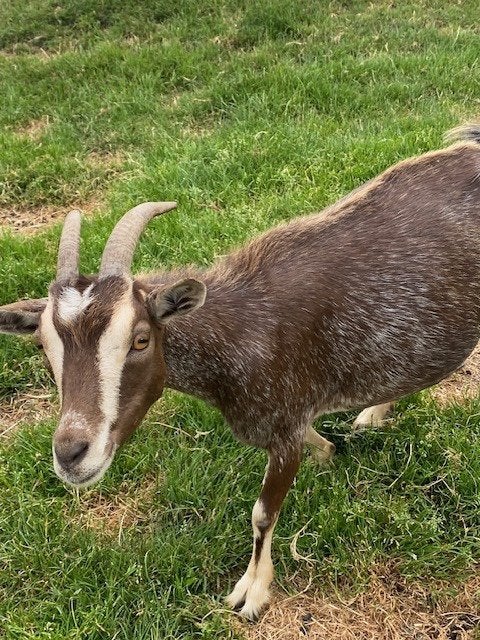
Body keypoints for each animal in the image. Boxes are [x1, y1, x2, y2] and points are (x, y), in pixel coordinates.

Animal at [1, 124, 480, 619]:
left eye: (140, 339)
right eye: (43, 347)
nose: (71, 454)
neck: (241, 329)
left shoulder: (284, 425)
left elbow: (262, 514)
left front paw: (252, 591)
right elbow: (318, 448)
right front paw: (329, 452)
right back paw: (374, 413)